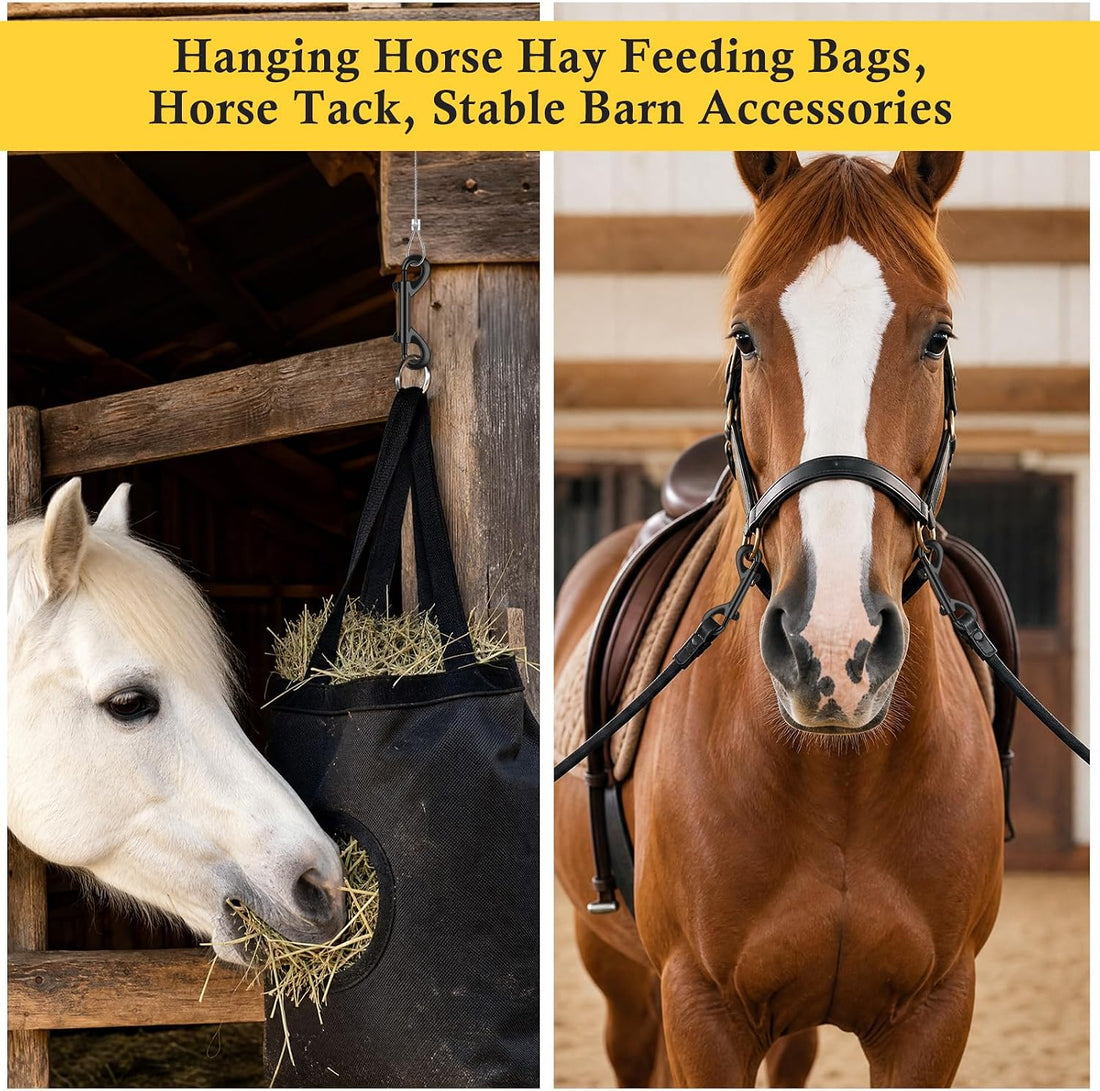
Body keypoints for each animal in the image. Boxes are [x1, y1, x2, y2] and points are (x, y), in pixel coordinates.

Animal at [555, 152, 1004, 1087]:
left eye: (938, 337)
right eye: (745, 336)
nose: (832, 650)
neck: (840, 774)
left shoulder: (937, 1014)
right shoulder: (702, 1011)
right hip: (613, 966)